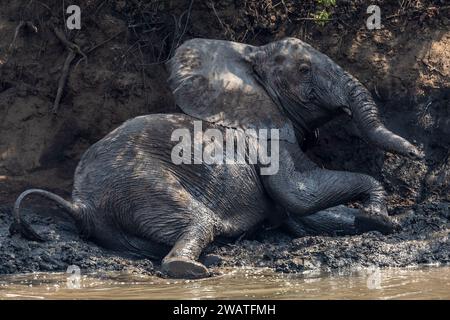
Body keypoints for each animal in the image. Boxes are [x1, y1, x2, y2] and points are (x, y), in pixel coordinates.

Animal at [9, 37, 422, 278]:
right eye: (304, 70)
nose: (418, 152)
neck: (247, 57)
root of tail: (81, 204)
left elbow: (307, 216)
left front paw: (380, 221)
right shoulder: (270, 137)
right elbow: (301, 195)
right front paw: (381, 215)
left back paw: (213, 260)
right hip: (140, 184)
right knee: (198, 221)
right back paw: (197, 268)